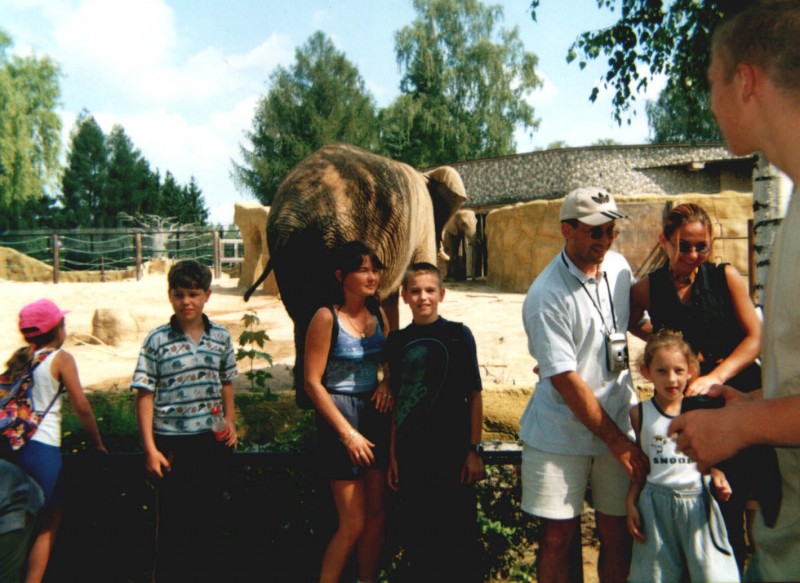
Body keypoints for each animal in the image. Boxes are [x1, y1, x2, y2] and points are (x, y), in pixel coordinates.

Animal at [244, 143, 466, 401]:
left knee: (305, 315)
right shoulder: (423, 225)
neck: (426, 174)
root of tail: (291, 214)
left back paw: (306, 399)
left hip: (291, 252)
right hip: (339, 239)